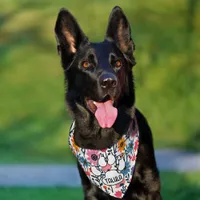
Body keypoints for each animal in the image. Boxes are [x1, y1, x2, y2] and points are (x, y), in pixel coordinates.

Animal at [54, 5, 162, 199]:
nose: (109, 82)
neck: (103, 136)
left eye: (117, 63)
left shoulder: (150, 186)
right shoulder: (91, 191)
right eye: (86, 64)